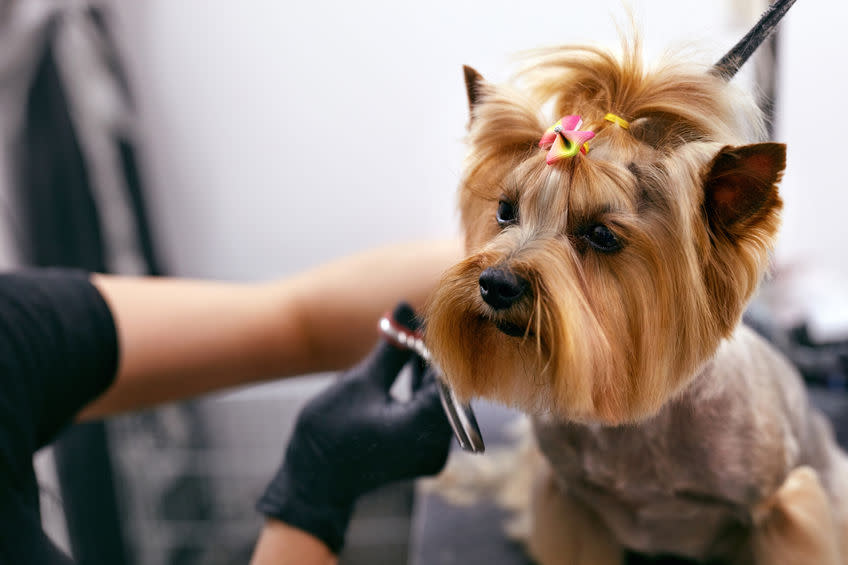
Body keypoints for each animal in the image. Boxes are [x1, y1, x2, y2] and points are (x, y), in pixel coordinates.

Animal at [428, 5, 848, 564]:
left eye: (602, 235)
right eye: (504, 210)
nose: (495, 284)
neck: (634, 414)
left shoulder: (782, 509)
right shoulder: (570, 503)